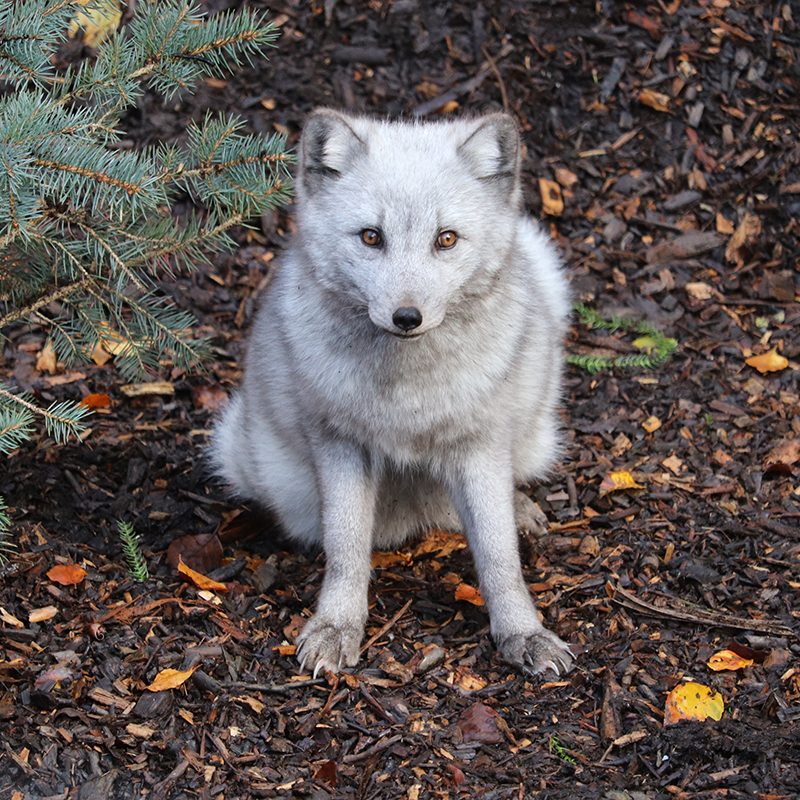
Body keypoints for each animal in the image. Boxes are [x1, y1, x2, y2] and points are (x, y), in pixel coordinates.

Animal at [211, 109, 576, 680]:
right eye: (370, 237)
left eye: (446, 239)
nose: (407, 317)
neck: (406, 396)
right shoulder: (339, 443)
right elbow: (346, 548)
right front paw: (337, 626)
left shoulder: (480, 447)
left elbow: (500, 557)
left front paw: (524, 633)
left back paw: (519, 509)